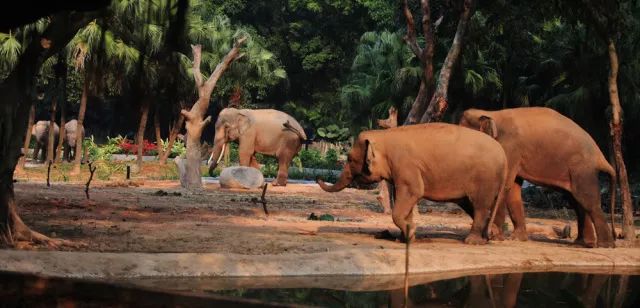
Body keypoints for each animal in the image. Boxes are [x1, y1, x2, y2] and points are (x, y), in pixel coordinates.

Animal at [318, 123, 508, 245]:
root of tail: (504, 155)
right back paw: (492, 235)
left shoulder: (405, 165)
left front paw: (411, 233)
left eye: (350, 159)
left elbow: (413, 192)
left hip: (485, 178)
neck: (384, 136)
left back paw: (472, 241)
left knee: (480, 206)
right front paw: (404, 238)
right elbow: (405, 199)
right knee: (471, 205)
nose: (318, 178)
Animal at [458, 106, 616, 248]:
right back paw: (583, 243)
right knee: (576, 201)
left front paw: (495, 237)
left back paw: (604, 245)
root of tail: (599, 155)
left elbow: (505, 186)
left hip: (582, 168)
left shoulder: (510, 148)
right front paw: (517, 239)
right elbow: (513, 191)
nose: (491, 234)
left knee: (586, 200)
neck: (491, 113)